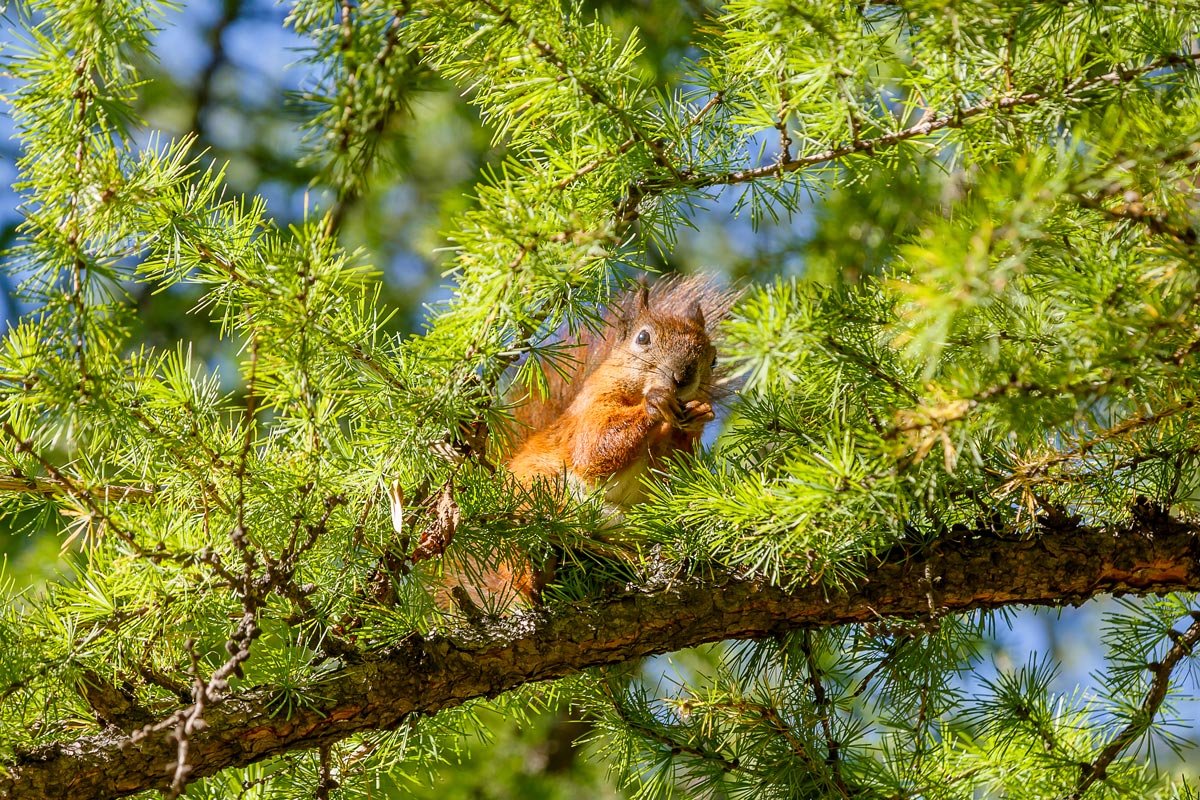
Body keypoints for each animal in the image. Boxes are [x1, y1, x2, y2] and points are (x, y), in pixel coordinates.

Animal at [441, 277, 739, 614]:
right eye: (643, 337)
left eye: (713, 358)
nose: (681, 378)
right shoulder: (589, 410)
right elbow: (594, 448)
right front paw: (654, 404)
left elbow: (669, 471)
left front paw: (697, 415)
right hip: (534, 494)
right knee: (522, 562)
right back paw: (534, 581)